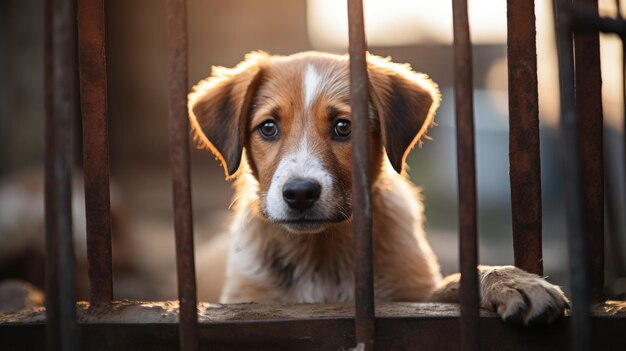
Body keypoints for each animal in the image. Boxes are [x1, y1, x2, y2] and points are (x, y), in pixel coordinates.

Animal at [188, 51, 568, 328]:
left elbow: (458, 278)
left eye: (344, 127)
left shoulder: (410, 296)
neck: (320, 254)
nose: (300, 194)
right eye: (268, 128)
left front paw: (513, 281)